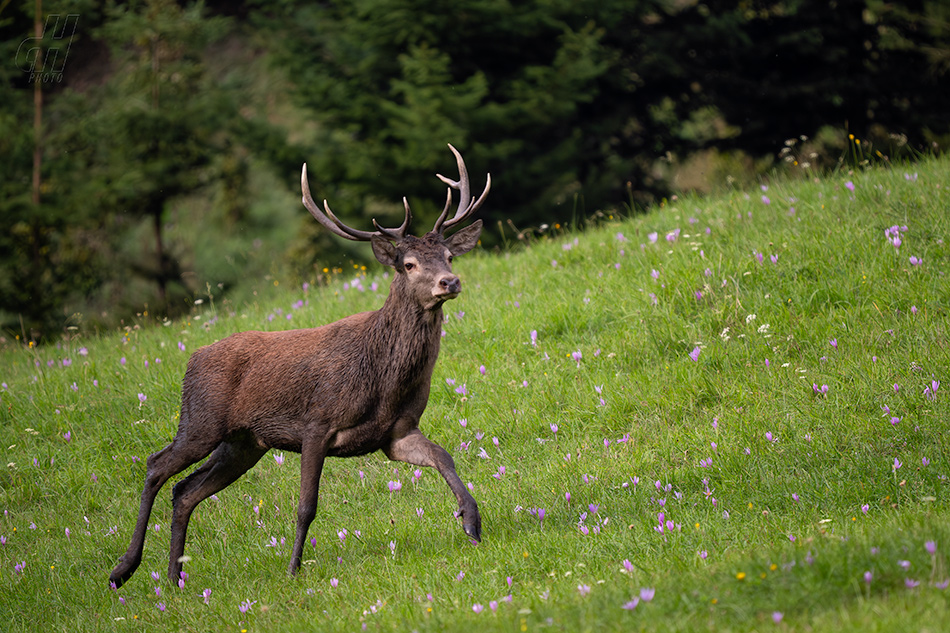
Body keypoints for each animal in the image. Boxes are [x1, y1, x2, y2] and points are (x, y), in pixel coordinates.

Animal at [111, 143, 490, 588]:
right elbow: (307, 505)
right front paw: (293, 568)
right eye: (409, 264)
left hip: (243, 443)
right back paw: (123, 569)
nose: (450, 282)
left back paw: (175, 578)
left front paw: (471, 522)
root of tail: (193, 357)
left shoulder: (396, 433)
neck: (384, 379)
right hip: (201, 421)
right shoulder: (317, 423)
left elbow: (444, 456)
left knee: (185, 490)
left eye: (448, 256)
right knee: (156, 466)